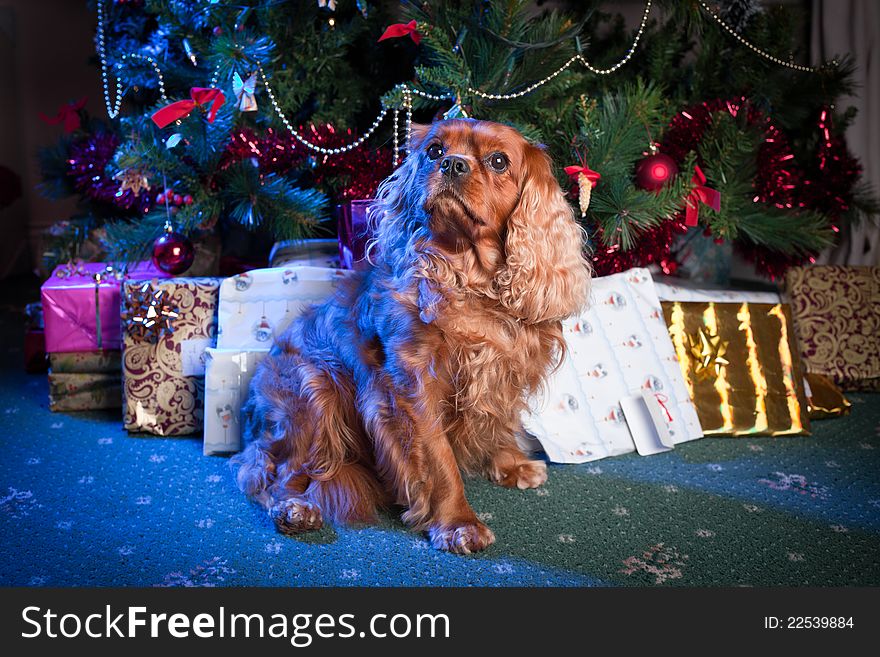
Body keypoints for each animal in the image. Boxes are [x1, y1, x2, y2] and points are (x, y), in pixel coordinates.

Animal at [234, 119, 592, 552]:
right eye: (435, 150)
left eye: (499, 161)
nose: (452, 164)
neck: (471, 283)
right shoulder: (413, 387)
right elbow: (440, 462)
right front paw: (458, 524)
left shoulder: (504, 372)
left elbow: (501, 422)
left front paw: (511, 464)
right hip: (314, 392)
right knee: (270, 475)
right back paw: (294, 509)